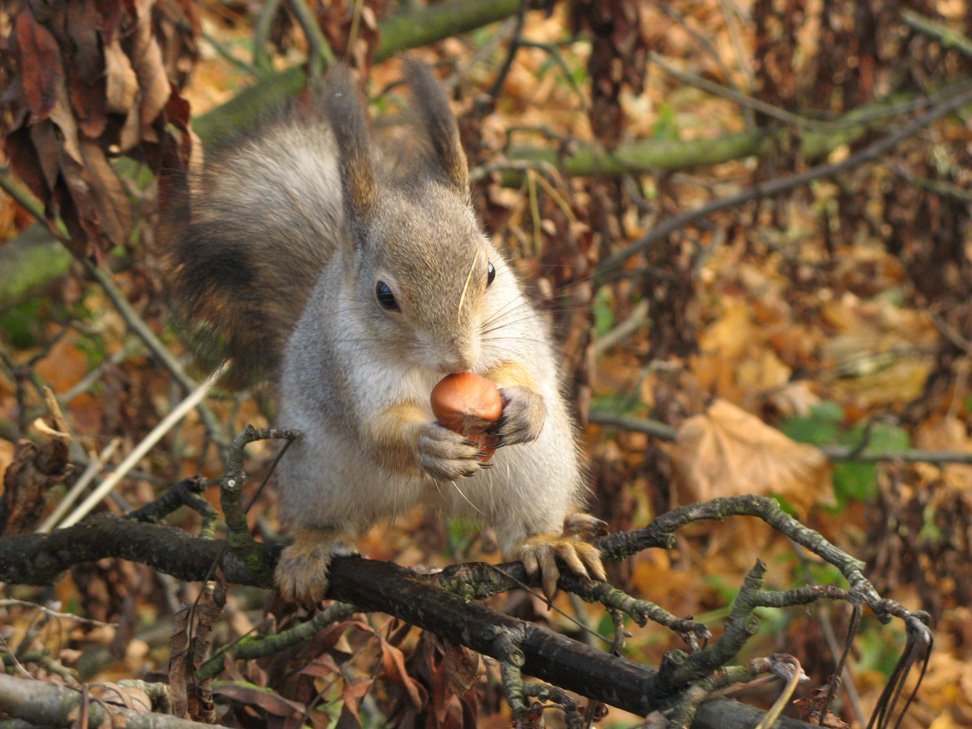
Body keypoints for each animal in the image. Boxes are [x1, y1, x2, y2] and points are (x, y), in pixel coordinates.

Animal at [160, 58, 604, 604]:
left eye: (491, 273)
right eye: (384, 295)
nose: (458, 360)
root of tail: (429, 498)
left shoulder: (512, 330)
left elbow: (521, 367)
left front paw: (525, 405)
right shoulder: (351, 366)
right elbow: (378, 430)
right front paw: (426, 445)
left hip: (535, 470)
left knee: (524, 519)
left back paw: (545, 542)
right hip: (319, 471)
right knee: (333, 518)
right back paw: (313, 549)